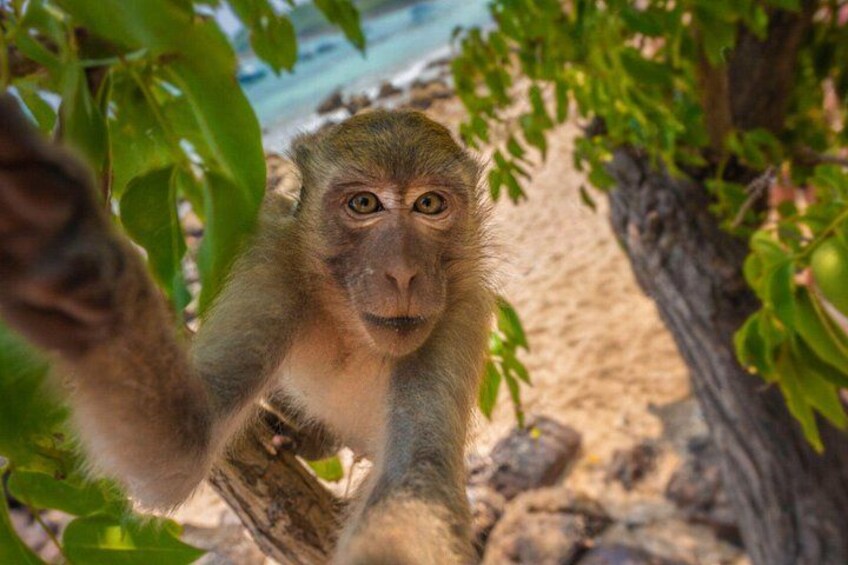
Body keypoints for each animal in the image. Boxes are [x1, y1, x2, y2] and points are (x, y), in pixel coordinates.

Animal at [0, 94, 493, 564]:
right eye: (364, 203)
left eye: (429, 204)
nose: (403, 273)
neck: (352, 327)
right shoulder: (275, 263)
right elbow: (185, 444)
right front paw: (81, 273)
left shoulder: (461, 314)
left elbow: (412, 476)